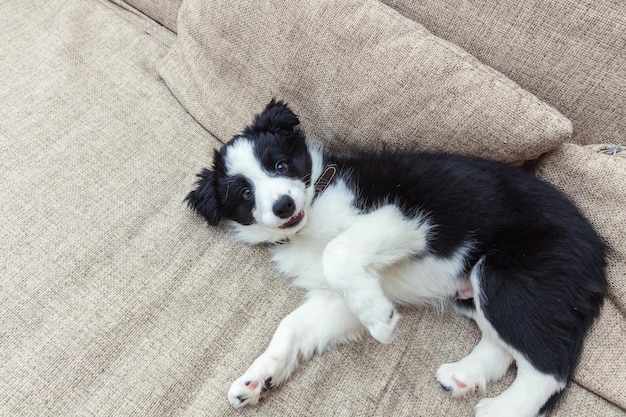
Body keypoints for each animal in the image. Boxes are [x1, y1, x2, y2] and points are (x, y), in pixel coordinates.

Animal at [186, 99, 604, 414]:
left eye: (280, 165)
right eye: (245, 193)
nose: (284, 205)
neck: (313, 208)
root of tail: (597, 251)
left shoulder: (402, 221)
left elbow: (337, 252)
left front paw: (381, 321)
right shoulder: (336, 298)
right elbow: (292, 325)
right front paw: (257, 378)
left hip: (509, 276)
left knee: (548, 368)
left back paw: (501, 409)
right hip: (474, 293)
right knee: (505, 345)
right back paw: (463, 376)